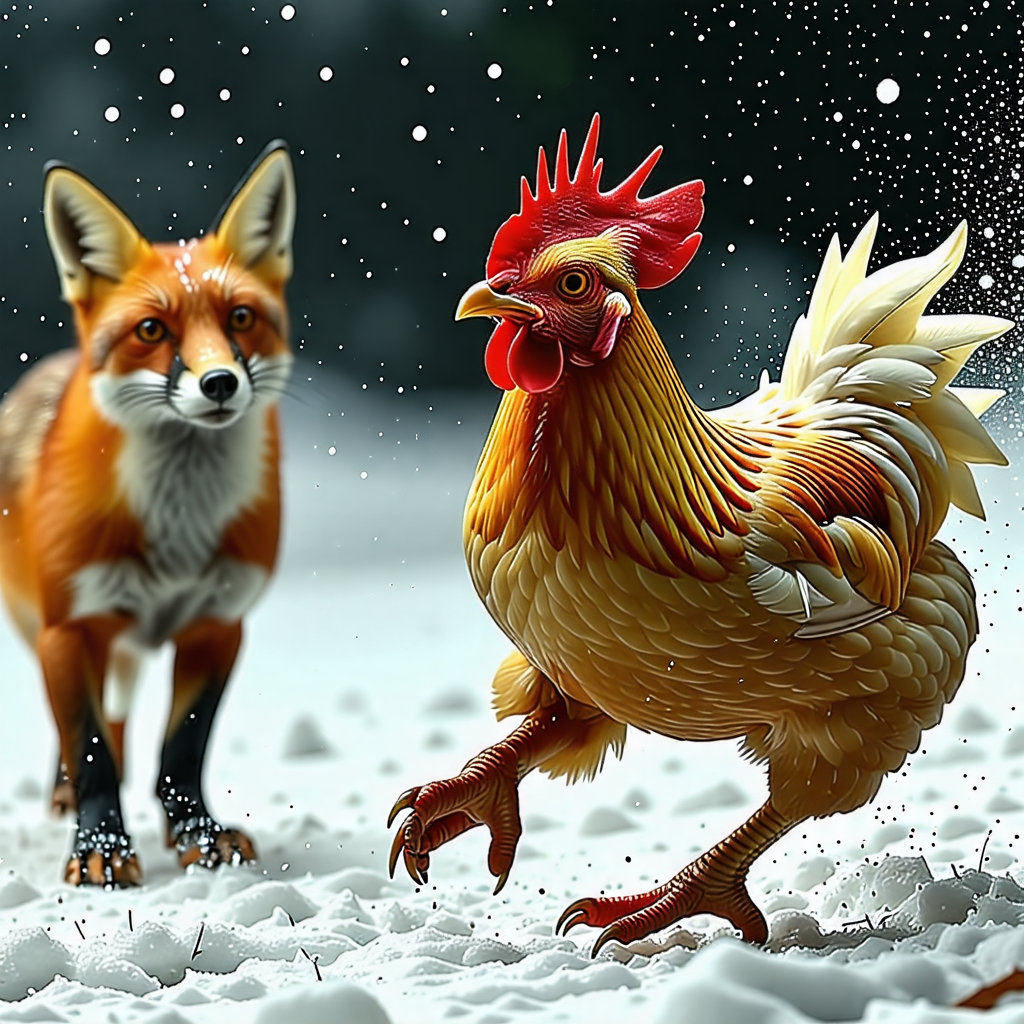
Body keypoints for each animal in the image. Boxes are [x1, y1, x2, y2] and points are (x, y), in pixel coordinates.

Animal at [0, 141, 296, 886]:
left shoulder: (219, 624)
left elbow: (181, 749)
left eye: (240, 318)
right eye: (151, 330)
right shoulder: (70, 627)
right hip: (51, 632)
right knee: (86, 735)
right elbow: (91, 750)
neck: (177, 533)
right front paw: (101, 849)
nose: (219, 383)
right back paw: (65, 798)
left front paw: (199, 835)